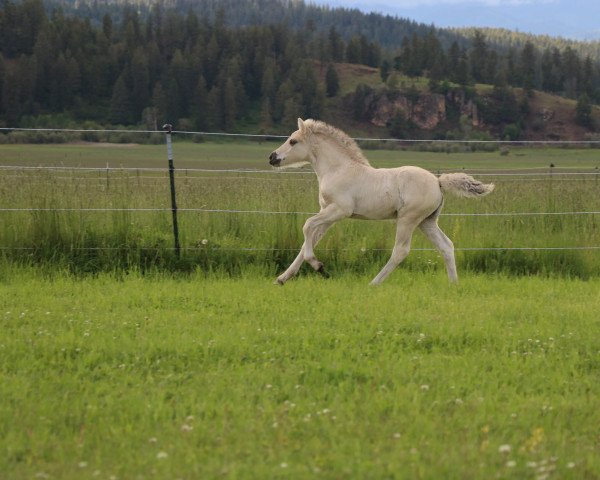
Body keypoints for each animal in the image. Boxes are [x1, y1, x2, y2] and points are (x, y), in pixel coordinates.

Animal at [270, 119, 494, 284]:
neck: (338, 169)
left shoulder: (340, 210)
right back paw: (453, 284)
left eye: (293, 141)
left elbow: (307, 226)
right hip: (427, 221)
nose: (272, 157)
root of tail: (438, 182)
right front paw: (282, 278)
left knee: (400, 251)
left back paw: (374, 283)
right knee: (446, 246)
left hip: (408, 219)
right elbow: (309, 240)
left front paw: (320, 267)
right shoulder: (328, 213)